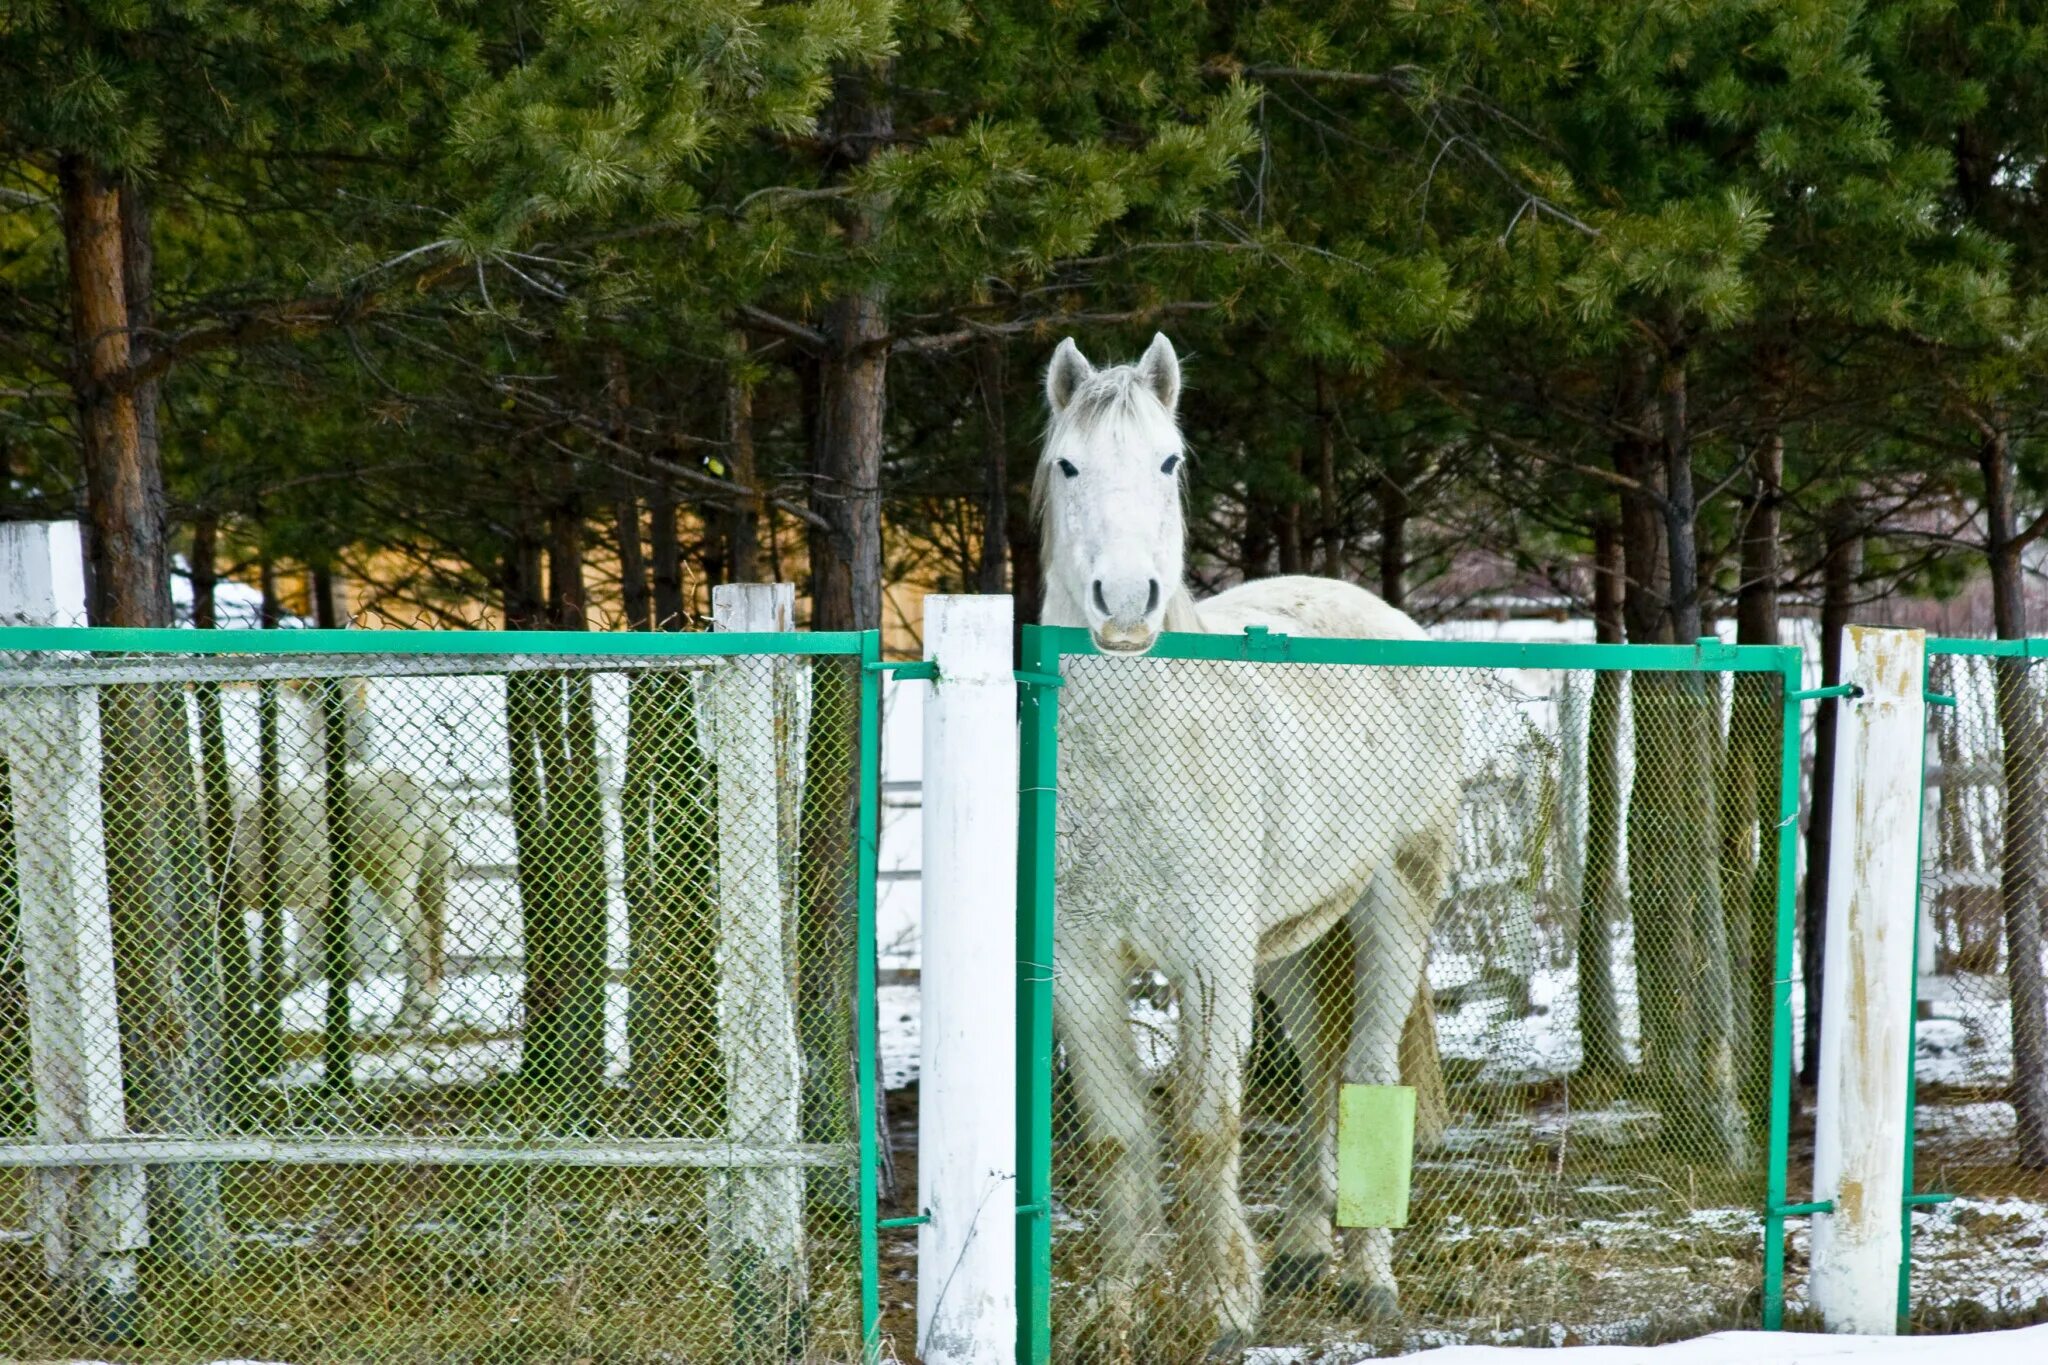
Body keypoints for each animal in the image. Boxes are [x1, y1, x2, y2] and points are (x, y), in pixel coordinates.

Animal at [1040, 335, 1474, 1358]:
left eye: (1169, 461)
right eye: (1069, 465)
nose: (1126, 604)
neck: (1136, 753)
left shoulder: (1207, 963)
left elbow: (1207, 1128)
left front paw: (1222, 1309)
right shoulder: (1080, 963)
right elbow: (1119, 1135)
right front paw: (1113, 1307)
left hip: (1393, 902)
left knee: (1363, 1072)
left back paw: (1369, 1275)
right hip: (1285, 948)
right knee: (1318, 1063)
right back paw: (1307, 1246)